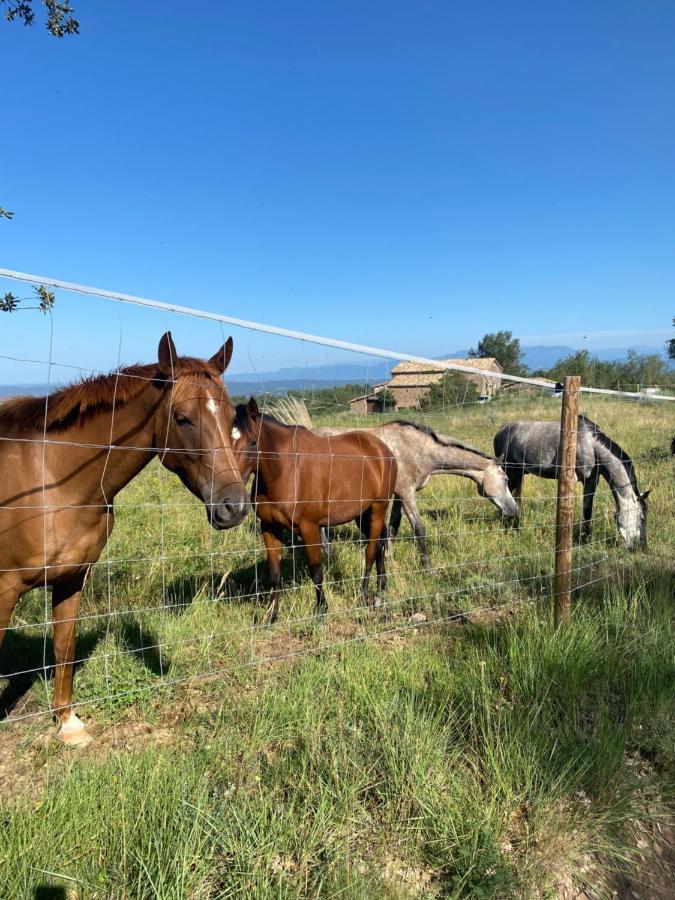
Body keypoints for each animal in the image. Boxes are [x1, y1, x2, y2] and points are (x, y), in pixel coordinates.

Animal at [0, 334, 248, 740]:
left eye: (231, 419)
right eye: (182, 418)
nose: (235, 506)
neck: (52, 479)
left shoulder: (71, 578)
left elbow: (64, 647)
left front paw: (68, 724)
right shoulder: (4, 591)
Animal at [235, 398, 398, 624]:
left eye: (252, 442)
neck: (285, 471)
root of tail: (383, 449)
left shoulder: (309, 528)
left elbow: (316, 572)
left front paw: (321, 611)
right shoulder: (269, 528)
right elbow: (274, 574)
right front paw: (272, 616)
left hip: (378, 508)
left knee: (371, 550)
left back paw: (366, 594)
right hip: (363, 514)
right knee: (381, 543)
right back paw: (381, 588)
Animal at [312, 422, 516, 568]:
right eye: (506, 479)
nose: (513, 509)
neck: (417, 449)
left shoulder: (399, 496)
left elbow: (393, 528)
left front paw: (389, 559)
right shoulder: (407, 494)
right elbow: (419, 529)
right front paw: (427, 567)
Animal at [496, 414, 648, 548]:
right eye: (641, 518)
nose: (641, 546)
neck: (589, 444)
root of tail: (501, 430)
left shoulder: (591, 481)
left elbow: (587, 510)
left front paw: (585, 538)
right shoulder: (572, 480)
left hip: (519, 473)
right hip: (510, 472)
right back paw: (506, 526)